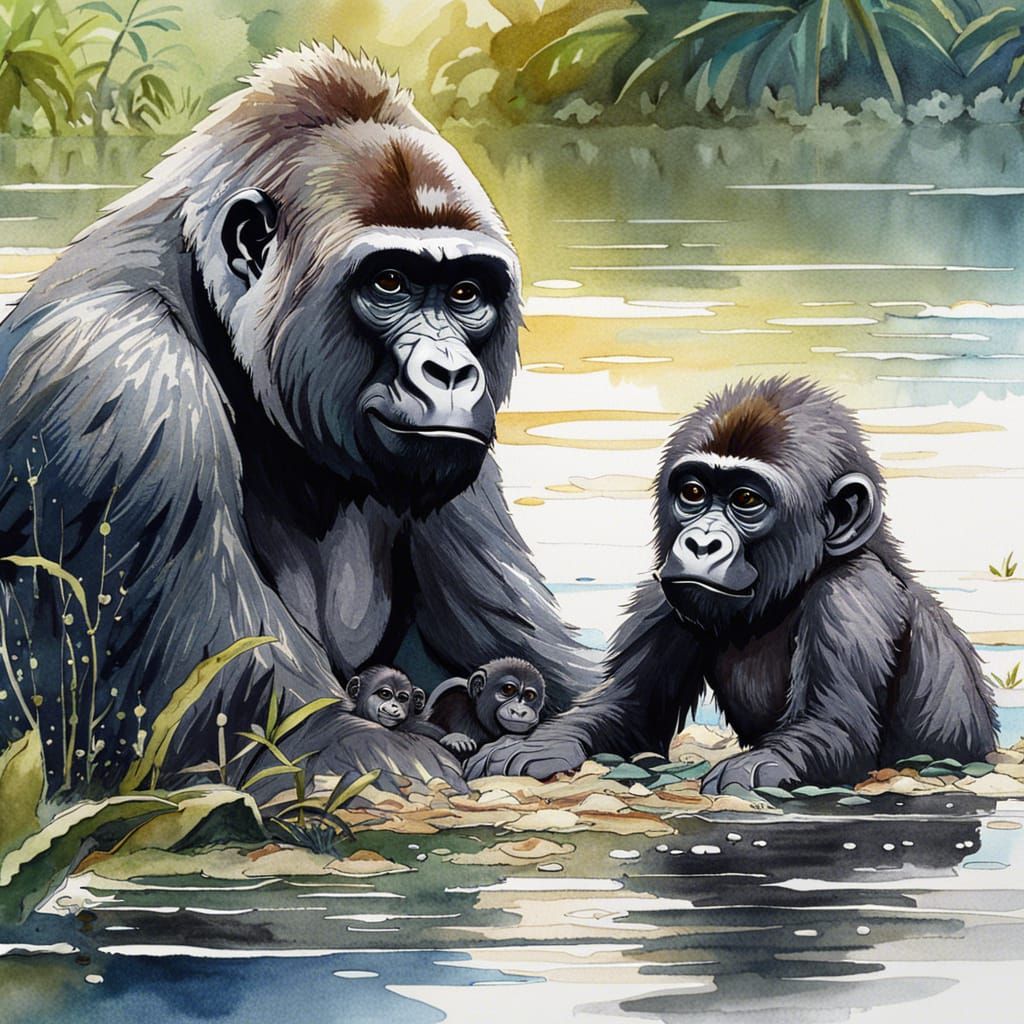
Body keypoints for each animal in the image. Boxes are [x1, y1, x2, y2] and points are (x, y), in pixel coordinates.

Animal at [466, 377, 997, 791]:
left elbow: (836, 731)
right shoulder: (663, 600)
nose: (701, 543)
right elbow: (627, 714)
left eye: (745, 500)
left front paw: (763, 765)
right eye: (693, 493)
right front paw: (538, 745)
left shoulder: (854, 596)